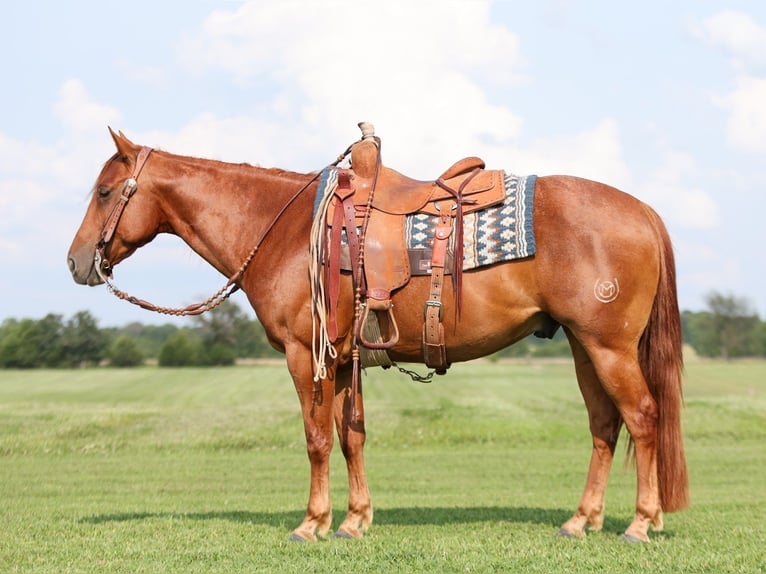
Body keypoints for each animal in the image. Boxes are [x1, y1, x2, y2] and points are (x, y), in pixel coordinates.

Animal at [67, 127, 688, 544]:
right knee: (605, 426)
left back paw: (639, 523)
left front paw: (312, 523)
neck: (285, 230)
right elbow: (351, 437)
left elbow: (317, 438)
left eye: (105, 192)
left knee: (643, 417)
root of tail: (642, 210)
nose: (76, 262)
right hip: (586, 347)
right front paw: (354, 520)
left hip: (609, 348)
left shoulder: (306, 357)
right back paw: (581, 521)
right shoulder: (343, 361)